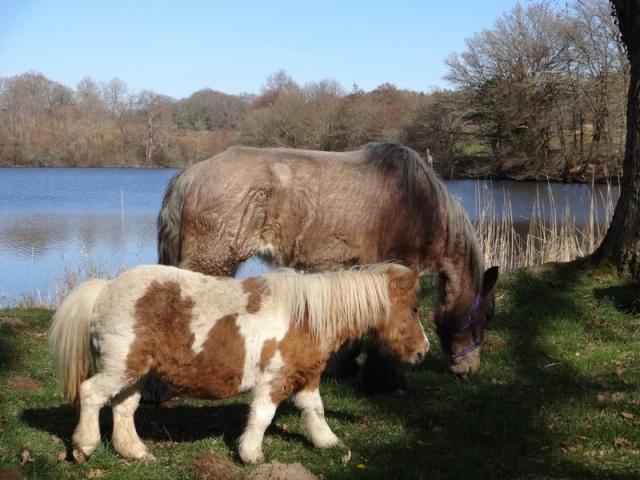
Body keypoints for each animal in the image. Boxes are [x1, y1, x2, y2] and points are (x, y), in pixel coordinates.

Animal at [50, 264, 428, 464]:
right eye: (414, 308)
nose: (423, 352)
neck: (306, 316)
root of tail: (104, 290)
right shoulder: (275, 381)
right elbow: (262, 417)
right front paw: (252, 455)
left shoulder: (305, 378)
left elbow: (315, 411)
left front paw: (328, 443)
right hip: (121, 368)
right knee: (91, 394)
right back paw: (83, 446)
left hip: (135, 373)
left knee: (123, 408)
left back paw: (136, 452)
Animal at [156, 141, 500, 392]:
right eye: (487, 314)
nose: (470, 370)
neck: (419, 202)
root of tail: (190, 175)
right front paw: (386, 382)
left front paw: (342, 366)